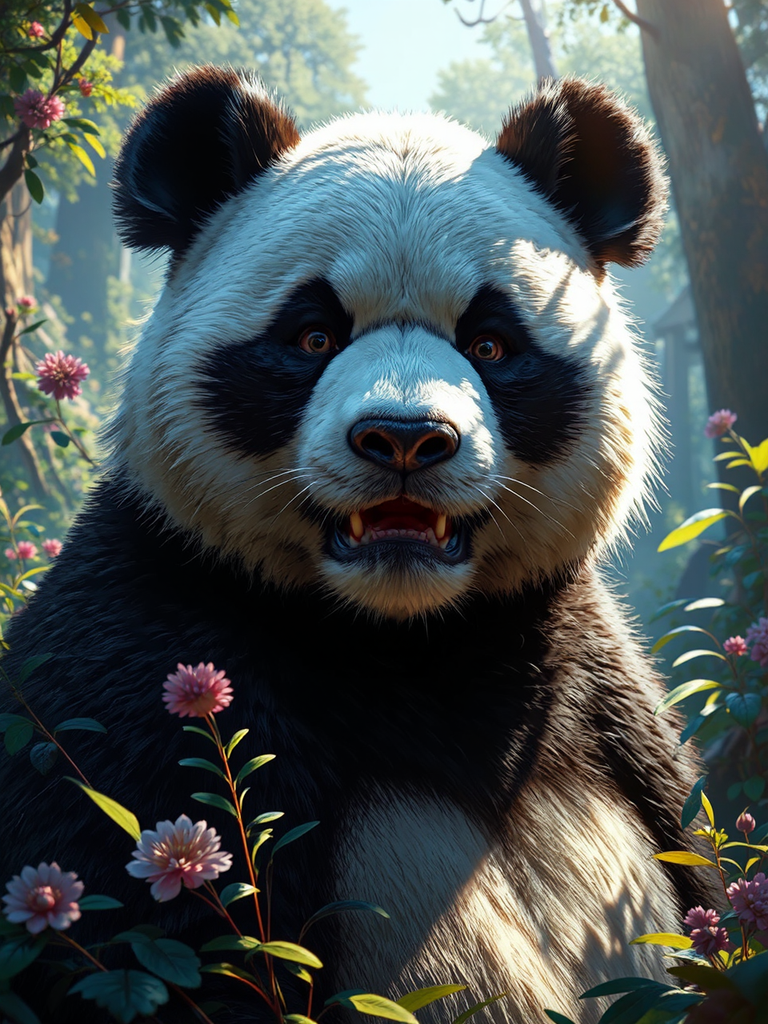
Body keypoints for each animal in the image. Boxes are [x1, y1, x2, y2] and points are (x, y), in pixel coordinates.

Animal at [1, 66, 706, 1023]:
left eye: (491, 342)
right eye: (312, 334)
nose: (405, 439)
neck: (402, 635)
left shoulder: (600, 695)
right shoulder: (143, 679)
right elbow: (131, 925)